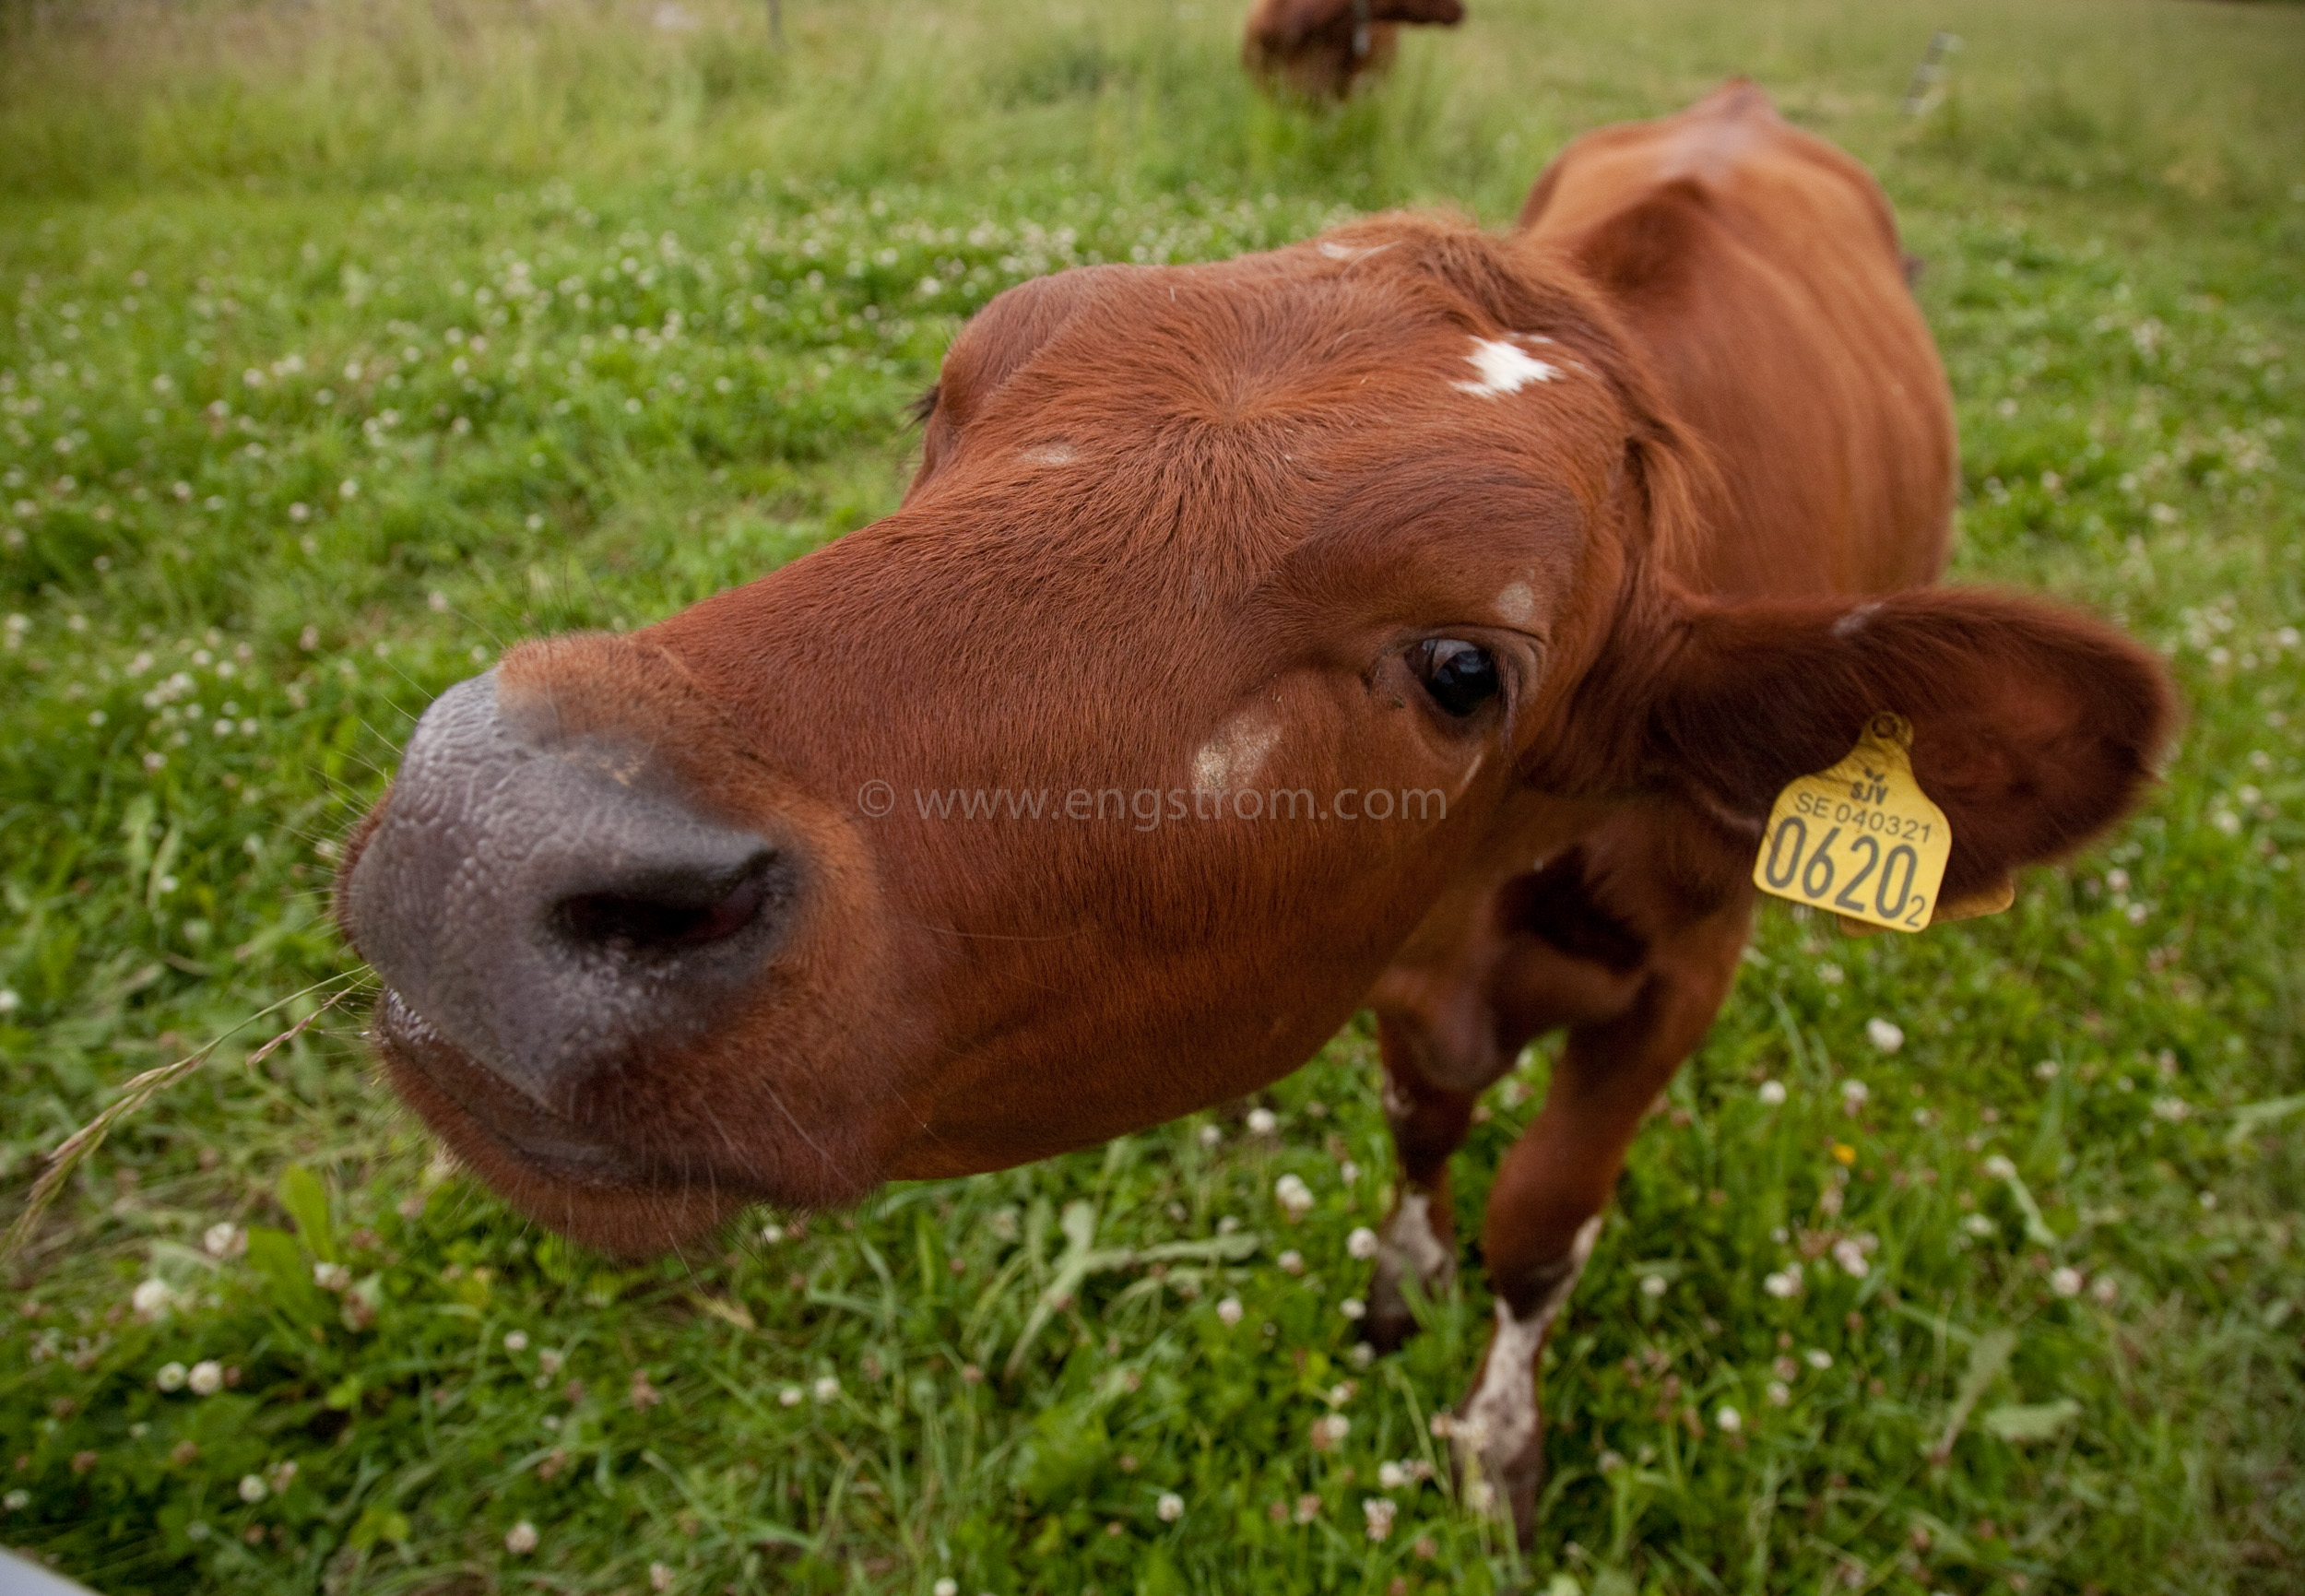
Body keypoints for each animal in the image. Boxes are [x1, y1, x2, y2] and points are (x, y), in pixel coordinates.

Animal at [334, 81, 2167, 1540]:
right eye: (948, 401)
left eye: (1462, 665)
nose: (485, 829)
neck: (1495, 907)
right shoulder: (1401, 967)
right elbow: (1426, 1125)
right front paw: (1397, 1284)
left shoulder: (1679, 980)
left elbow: (1539, 1228)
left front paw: (1493, 1449)